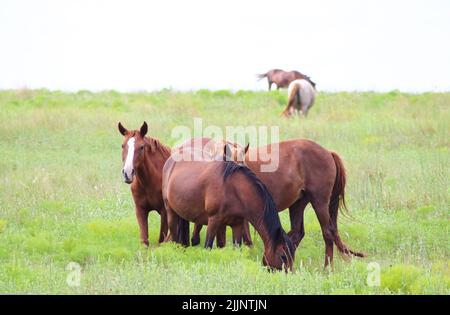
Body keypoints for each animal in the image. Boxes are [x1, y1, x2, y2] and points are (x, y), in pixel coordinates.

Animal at [162, 151, 296, 272]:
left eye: (293, 256)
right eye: (283, 256)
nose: (288, 274)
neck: (232, 188)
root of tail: (169, 161)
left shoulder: (237, 224)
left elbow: (237, 249)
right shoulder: (213, 220)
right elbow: (208, 246)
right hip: (170, 211)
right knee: (174, 237)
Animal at [192, 139, 364, 270]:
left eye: (243, 165)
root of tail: (328, 152)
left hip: (319, 201)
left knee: (328, 233)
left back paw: (326, 268)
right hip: (298, 203)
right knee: (298, 232)